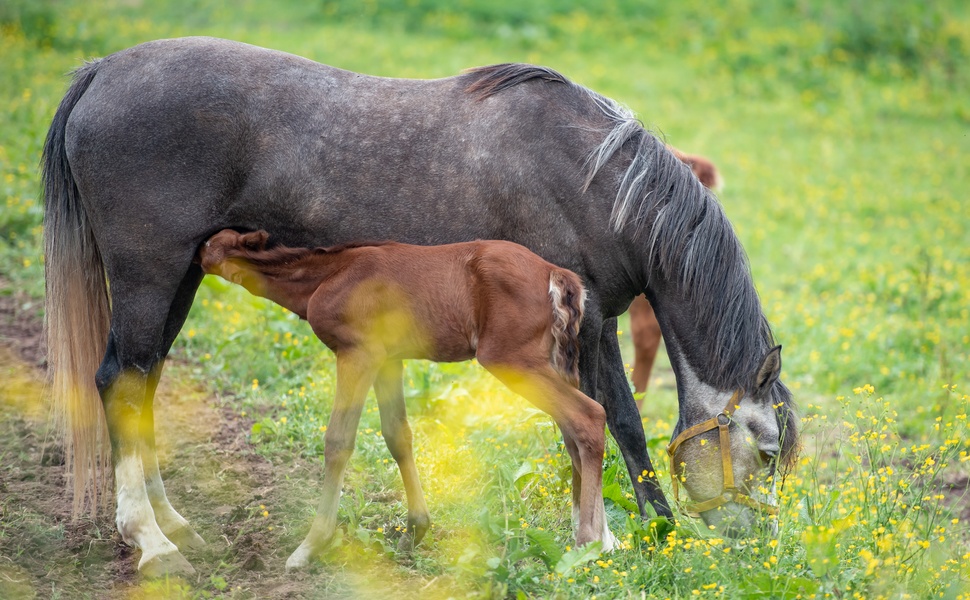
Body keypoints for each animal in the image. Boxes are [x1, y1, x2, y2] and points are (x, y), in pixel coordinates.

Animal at [198, 229, 616, 568]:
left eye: (210, 246)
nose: (197, 252)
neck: (329, 273)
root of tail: (555, 273)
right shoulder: (388, 361)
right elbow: (397, 435)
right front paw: (416, 529)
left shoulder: (358, 353)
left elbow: (338, 441)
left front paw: (312, 545)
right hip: (548, 364)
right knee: (573, 433)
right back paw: (600, 537)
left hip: (510, 359)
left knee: (589, 416)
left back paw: (588, 540)